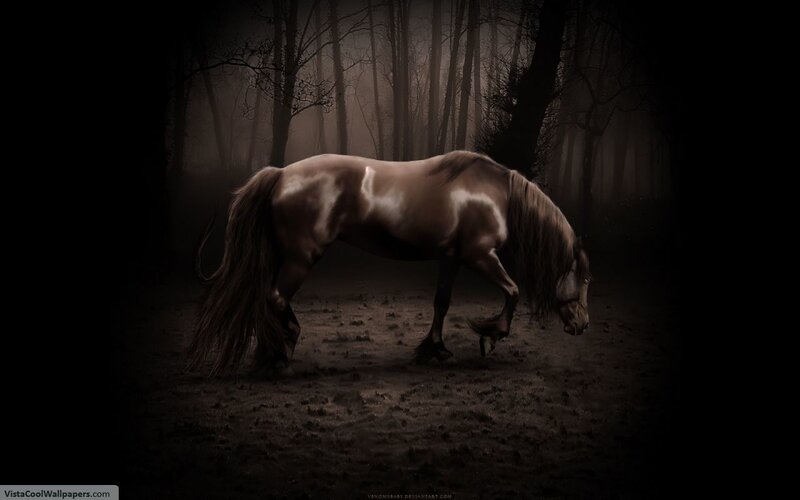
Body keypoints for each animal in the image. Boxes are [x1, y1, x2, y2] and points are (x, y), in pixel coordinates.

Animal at [190, 151, 591, 375]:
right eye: (585, 279)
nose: (583, 325)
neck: (495, 193)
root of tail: (281, 174)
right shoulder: (479, 256)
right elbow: (512, 290)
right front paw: (491, 337)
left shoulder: (452, 258)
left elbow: (442, 303)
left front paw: (435, 350)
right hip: (301, 258)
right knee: (274, 297)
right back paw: (282, 353)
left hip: (285, 256)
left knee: (269, 298)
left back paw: (274, 352)